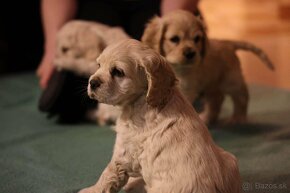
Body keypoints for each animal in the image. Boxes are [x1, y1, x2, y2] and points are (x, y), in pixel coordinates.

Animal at [79, 38, 240, 193]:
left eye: (118, 72)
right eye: (99, 65)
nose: (92, 82)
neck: (142, 100)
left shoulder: (125, 151)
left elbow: (108, 174)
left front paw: (92, 190)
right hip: (230, 159)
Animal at [142, 9, 276, 124]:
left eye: (197, 39)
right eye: (174, 39)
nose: (190, 53)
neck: (176, 67)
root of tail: (228, 43)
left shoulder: (186, 89)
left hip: (231, 81)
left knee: (242, 96)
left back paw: (238, 118)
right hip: (211, 84)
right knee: (217, 99)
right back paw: (207, 118)